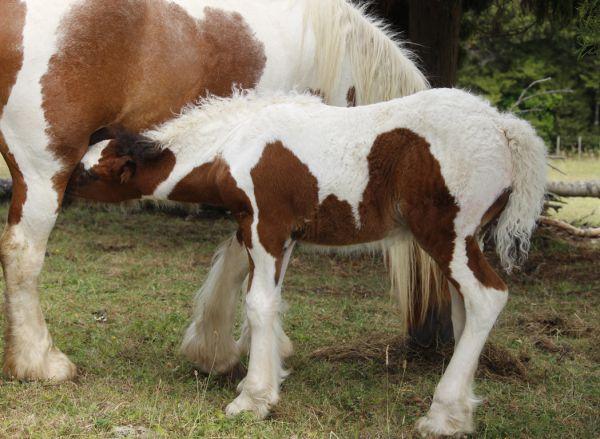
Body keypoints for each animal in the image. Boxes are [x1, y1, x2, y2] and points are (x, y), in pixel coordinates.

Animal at [0, 0, 432, 384]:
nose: (425, 344)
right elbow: (246, 265)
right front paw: (221, 352)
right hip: (44, 170)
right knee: (22, 254)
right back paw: (40, 363)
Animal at [70, 88, 548, 436]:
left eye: (88, 173)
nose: (60, 186)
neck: (233, 145)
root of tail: (503, 126)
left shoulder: (266, 227)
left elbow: (258, 303)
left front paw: (252, 398)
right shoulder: (273, 235)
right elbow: (258, 295)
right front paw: (248, 370)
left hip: (445, 237)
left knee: (487, 298)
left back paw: (441, 415)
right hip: (463, 242)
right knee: (466, 311)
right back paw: (461, 414)